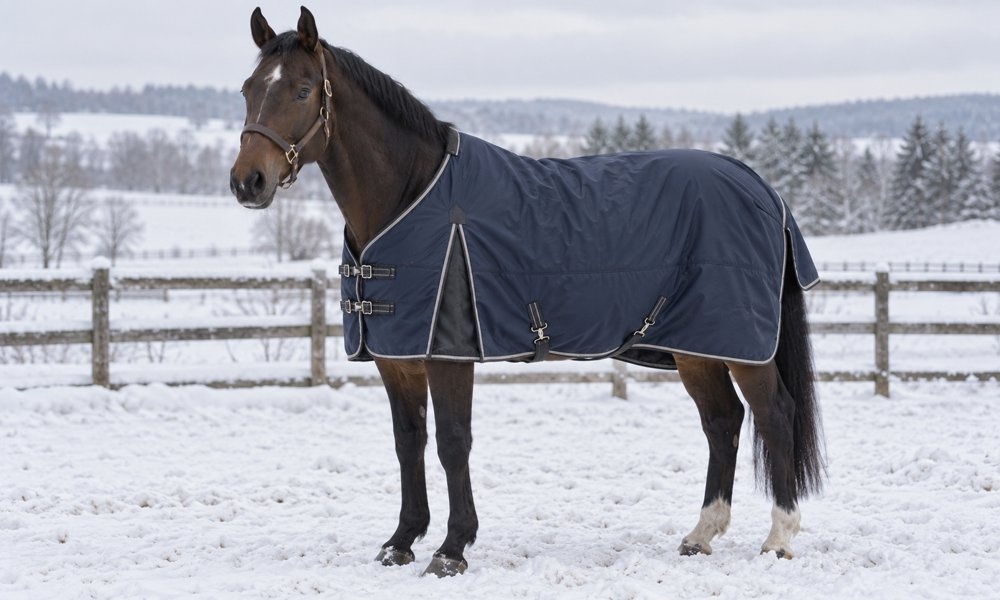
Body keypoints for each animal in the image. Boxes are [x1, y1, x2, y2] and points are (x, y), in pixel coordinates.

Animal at [230, 6, 825, 577]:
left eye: (302, 90)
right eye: (248, 88)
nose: (247, 182)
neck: (413, 195)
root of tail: (762, 189)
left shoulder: (447, 353)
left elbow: (452, 443)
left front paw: (452, 549)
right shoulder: (396, 358)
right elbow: (408, 442)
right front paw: (400, 542)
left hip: (742, 346)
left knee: (775, 414)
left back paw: (778, 539)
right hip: (696, 346)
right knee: (722, 422)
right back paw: (701, 535)